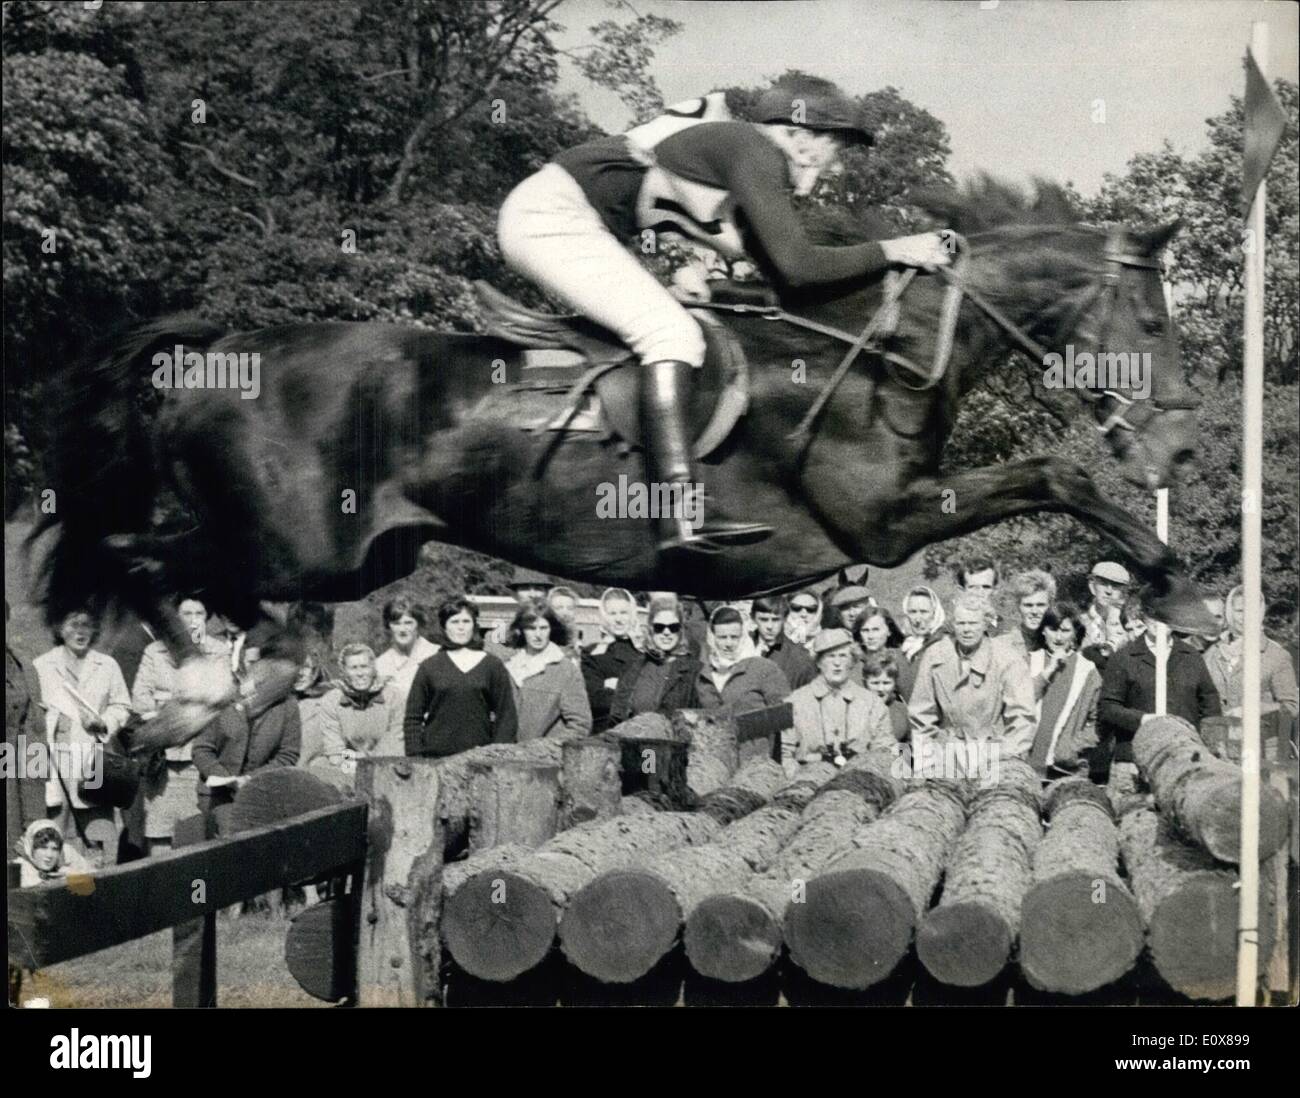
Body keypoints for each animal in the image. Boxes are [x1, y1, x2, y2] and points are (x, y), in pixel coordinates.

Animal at [27, 179, 1206, 686]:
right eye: (1152, 322)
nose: (1183, 451)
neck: (877, 353)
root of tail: (218, 347)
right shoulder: (885, 523)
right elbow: (1056, 472)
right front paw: (1175, 583)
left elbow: (1057, 478)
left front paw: (1169, 582)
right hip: (296, 544)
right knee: (138, 558)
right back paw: (192, 694)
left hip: (362, 559)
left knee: (169, 570)